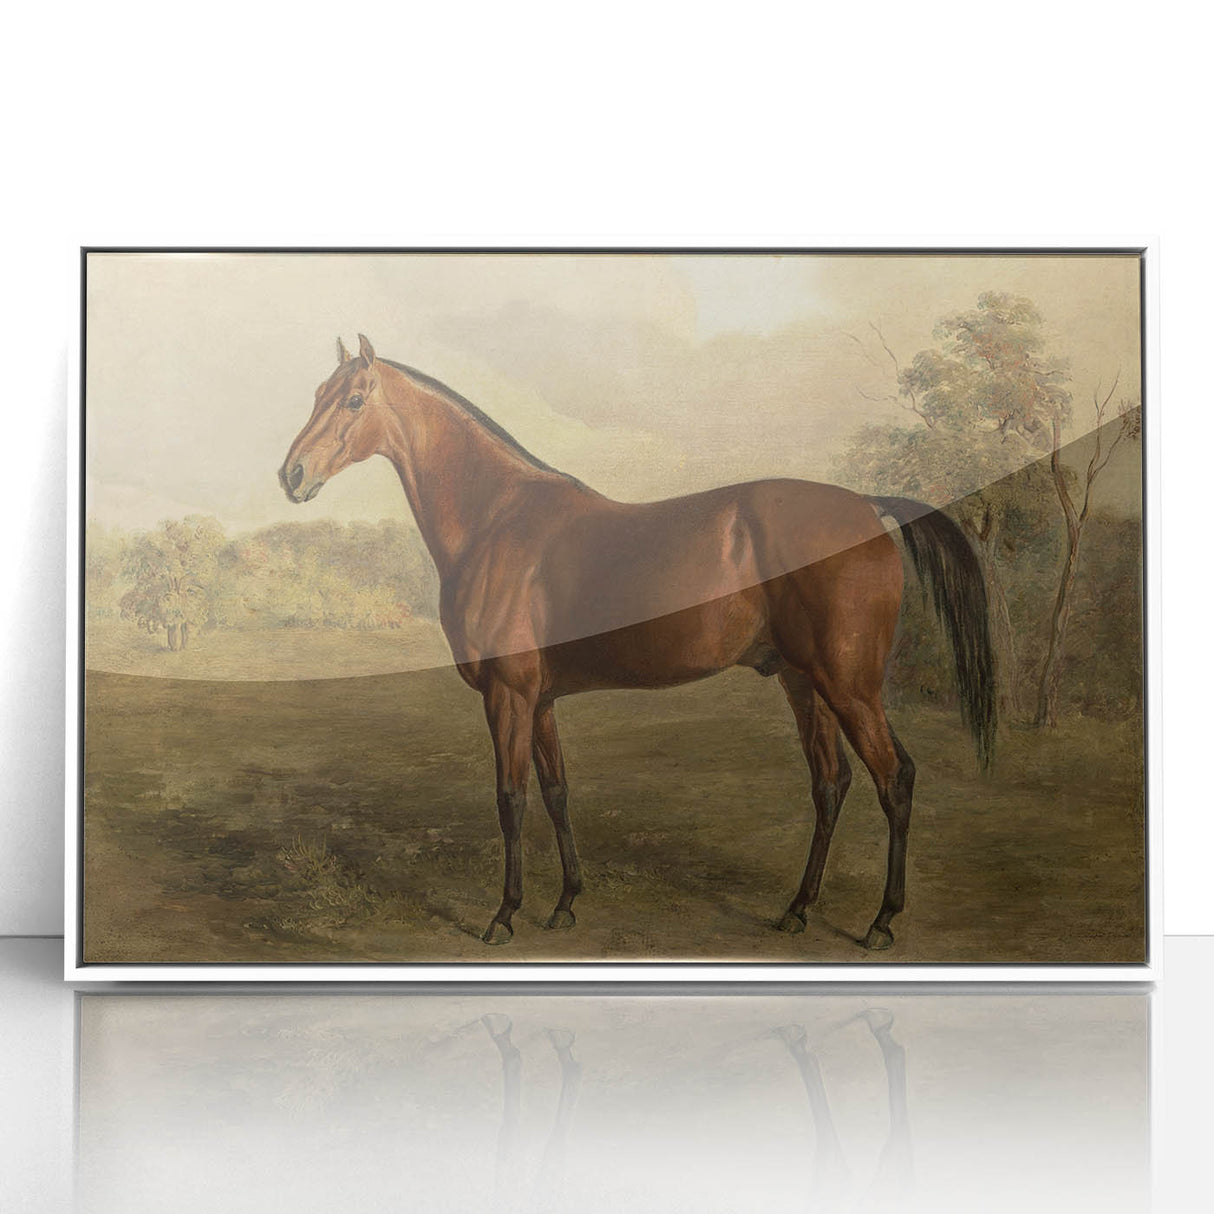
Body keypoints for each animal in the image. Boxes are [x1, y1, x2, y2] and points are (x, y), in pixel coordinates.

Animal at [280, 334, 995, 950]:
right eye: (316, 392)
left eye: (353, 400)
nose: (292, 474)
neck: (498, 520)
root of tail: (866, 507)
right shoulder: (541, 701)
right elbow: (557, 792)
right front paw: (565, 905)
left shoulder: (508, 696)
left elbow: (510, 799)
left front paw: (504, 916)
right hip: (803, 682)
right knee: (830, 782)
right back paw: (796, 910)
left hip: (850, 685)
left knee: (893, 778)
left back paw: (881, 922)